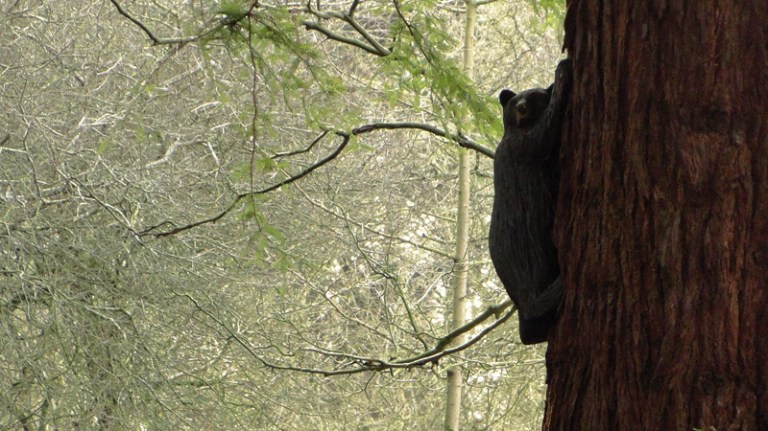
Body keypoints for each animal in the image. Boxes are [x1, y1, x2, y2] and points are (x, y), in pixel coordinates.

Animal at [489, 59, 572, 345]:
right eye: (517, 101)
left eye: (534, 97)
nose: (522, 108)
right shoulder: (522, 146)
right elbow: (546, 133)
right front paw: (562, 73)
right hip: (527, 244)